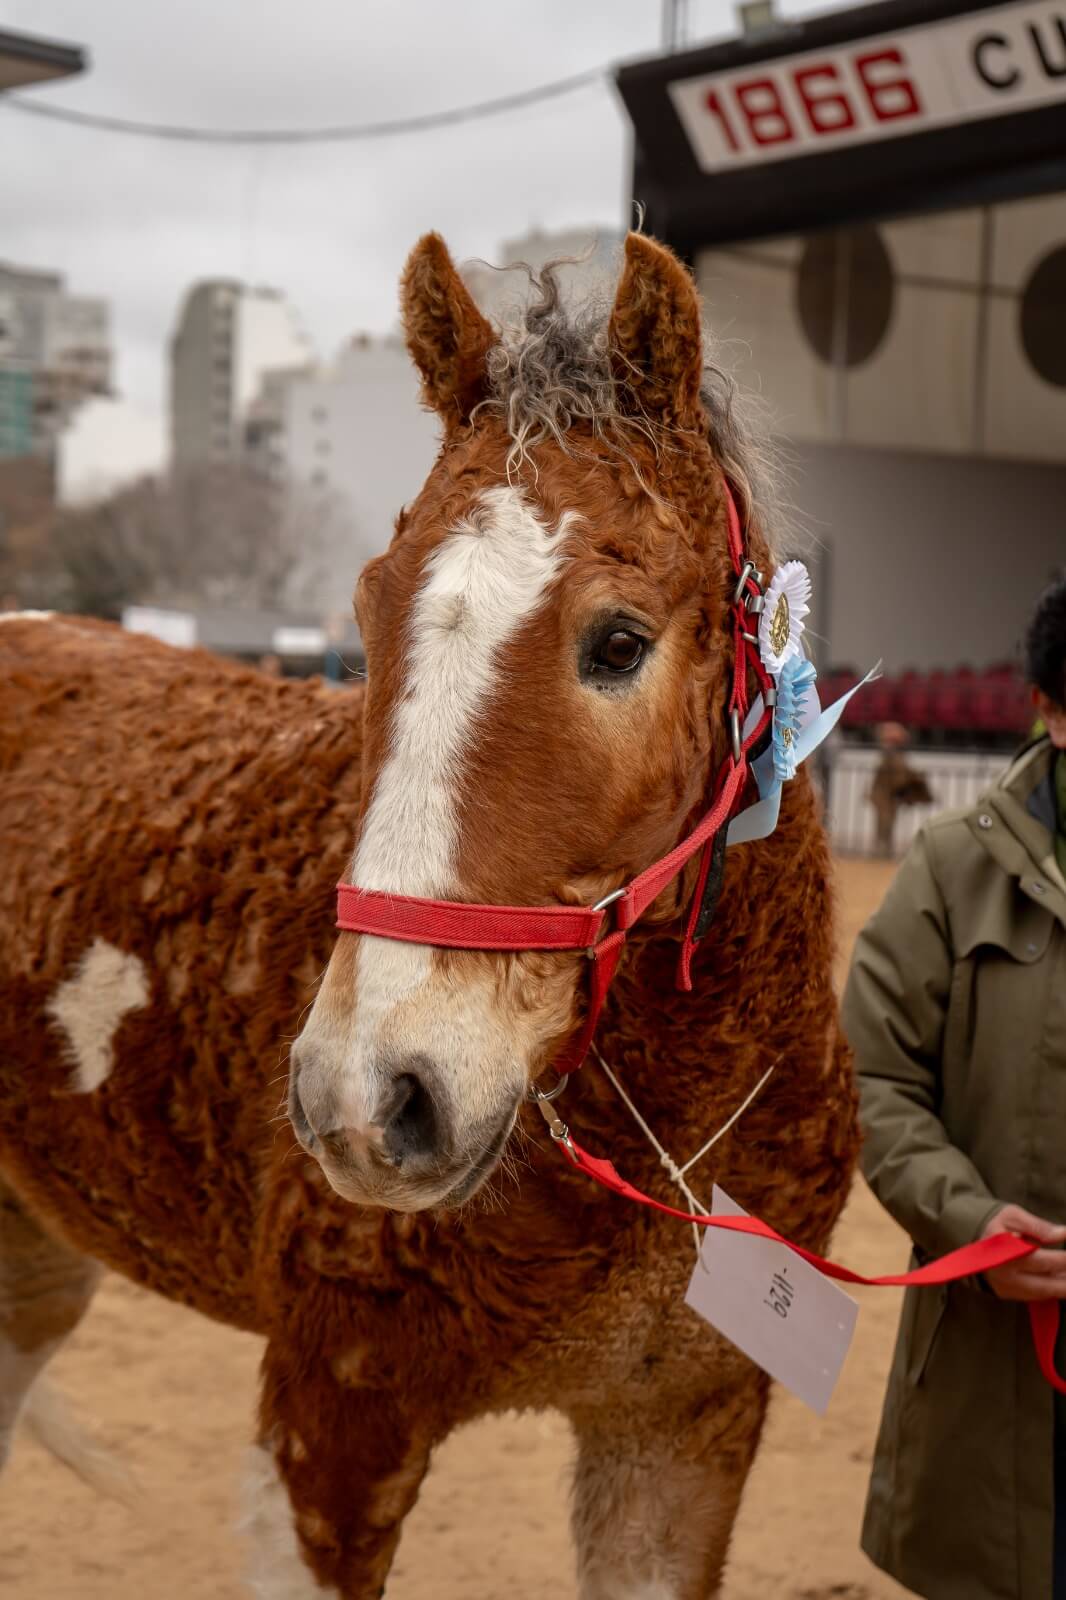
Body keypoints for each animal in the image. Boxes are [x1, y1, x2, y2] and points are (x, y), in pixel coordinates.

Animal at [0, 232, 857, 1593]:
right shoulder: (334, 1430)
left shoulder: (683, 1435)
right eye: (367, 609)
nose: (367, 1098)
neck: (663, 1140)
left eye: (618, 643)